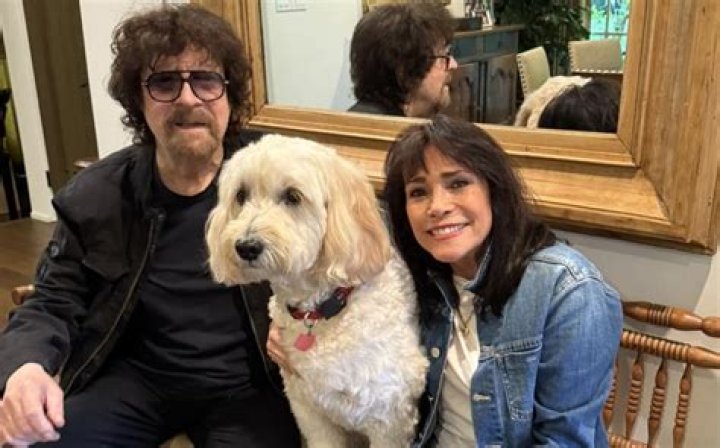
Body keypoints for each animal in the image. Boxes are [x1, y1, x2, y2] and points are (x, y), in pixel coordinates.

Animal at [206, 134, 428, 447]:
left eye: (293, 196)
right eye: (240, 195)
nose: (246, 247)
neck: (320, 310)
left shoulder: (390, 418)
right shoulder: (309, 411)